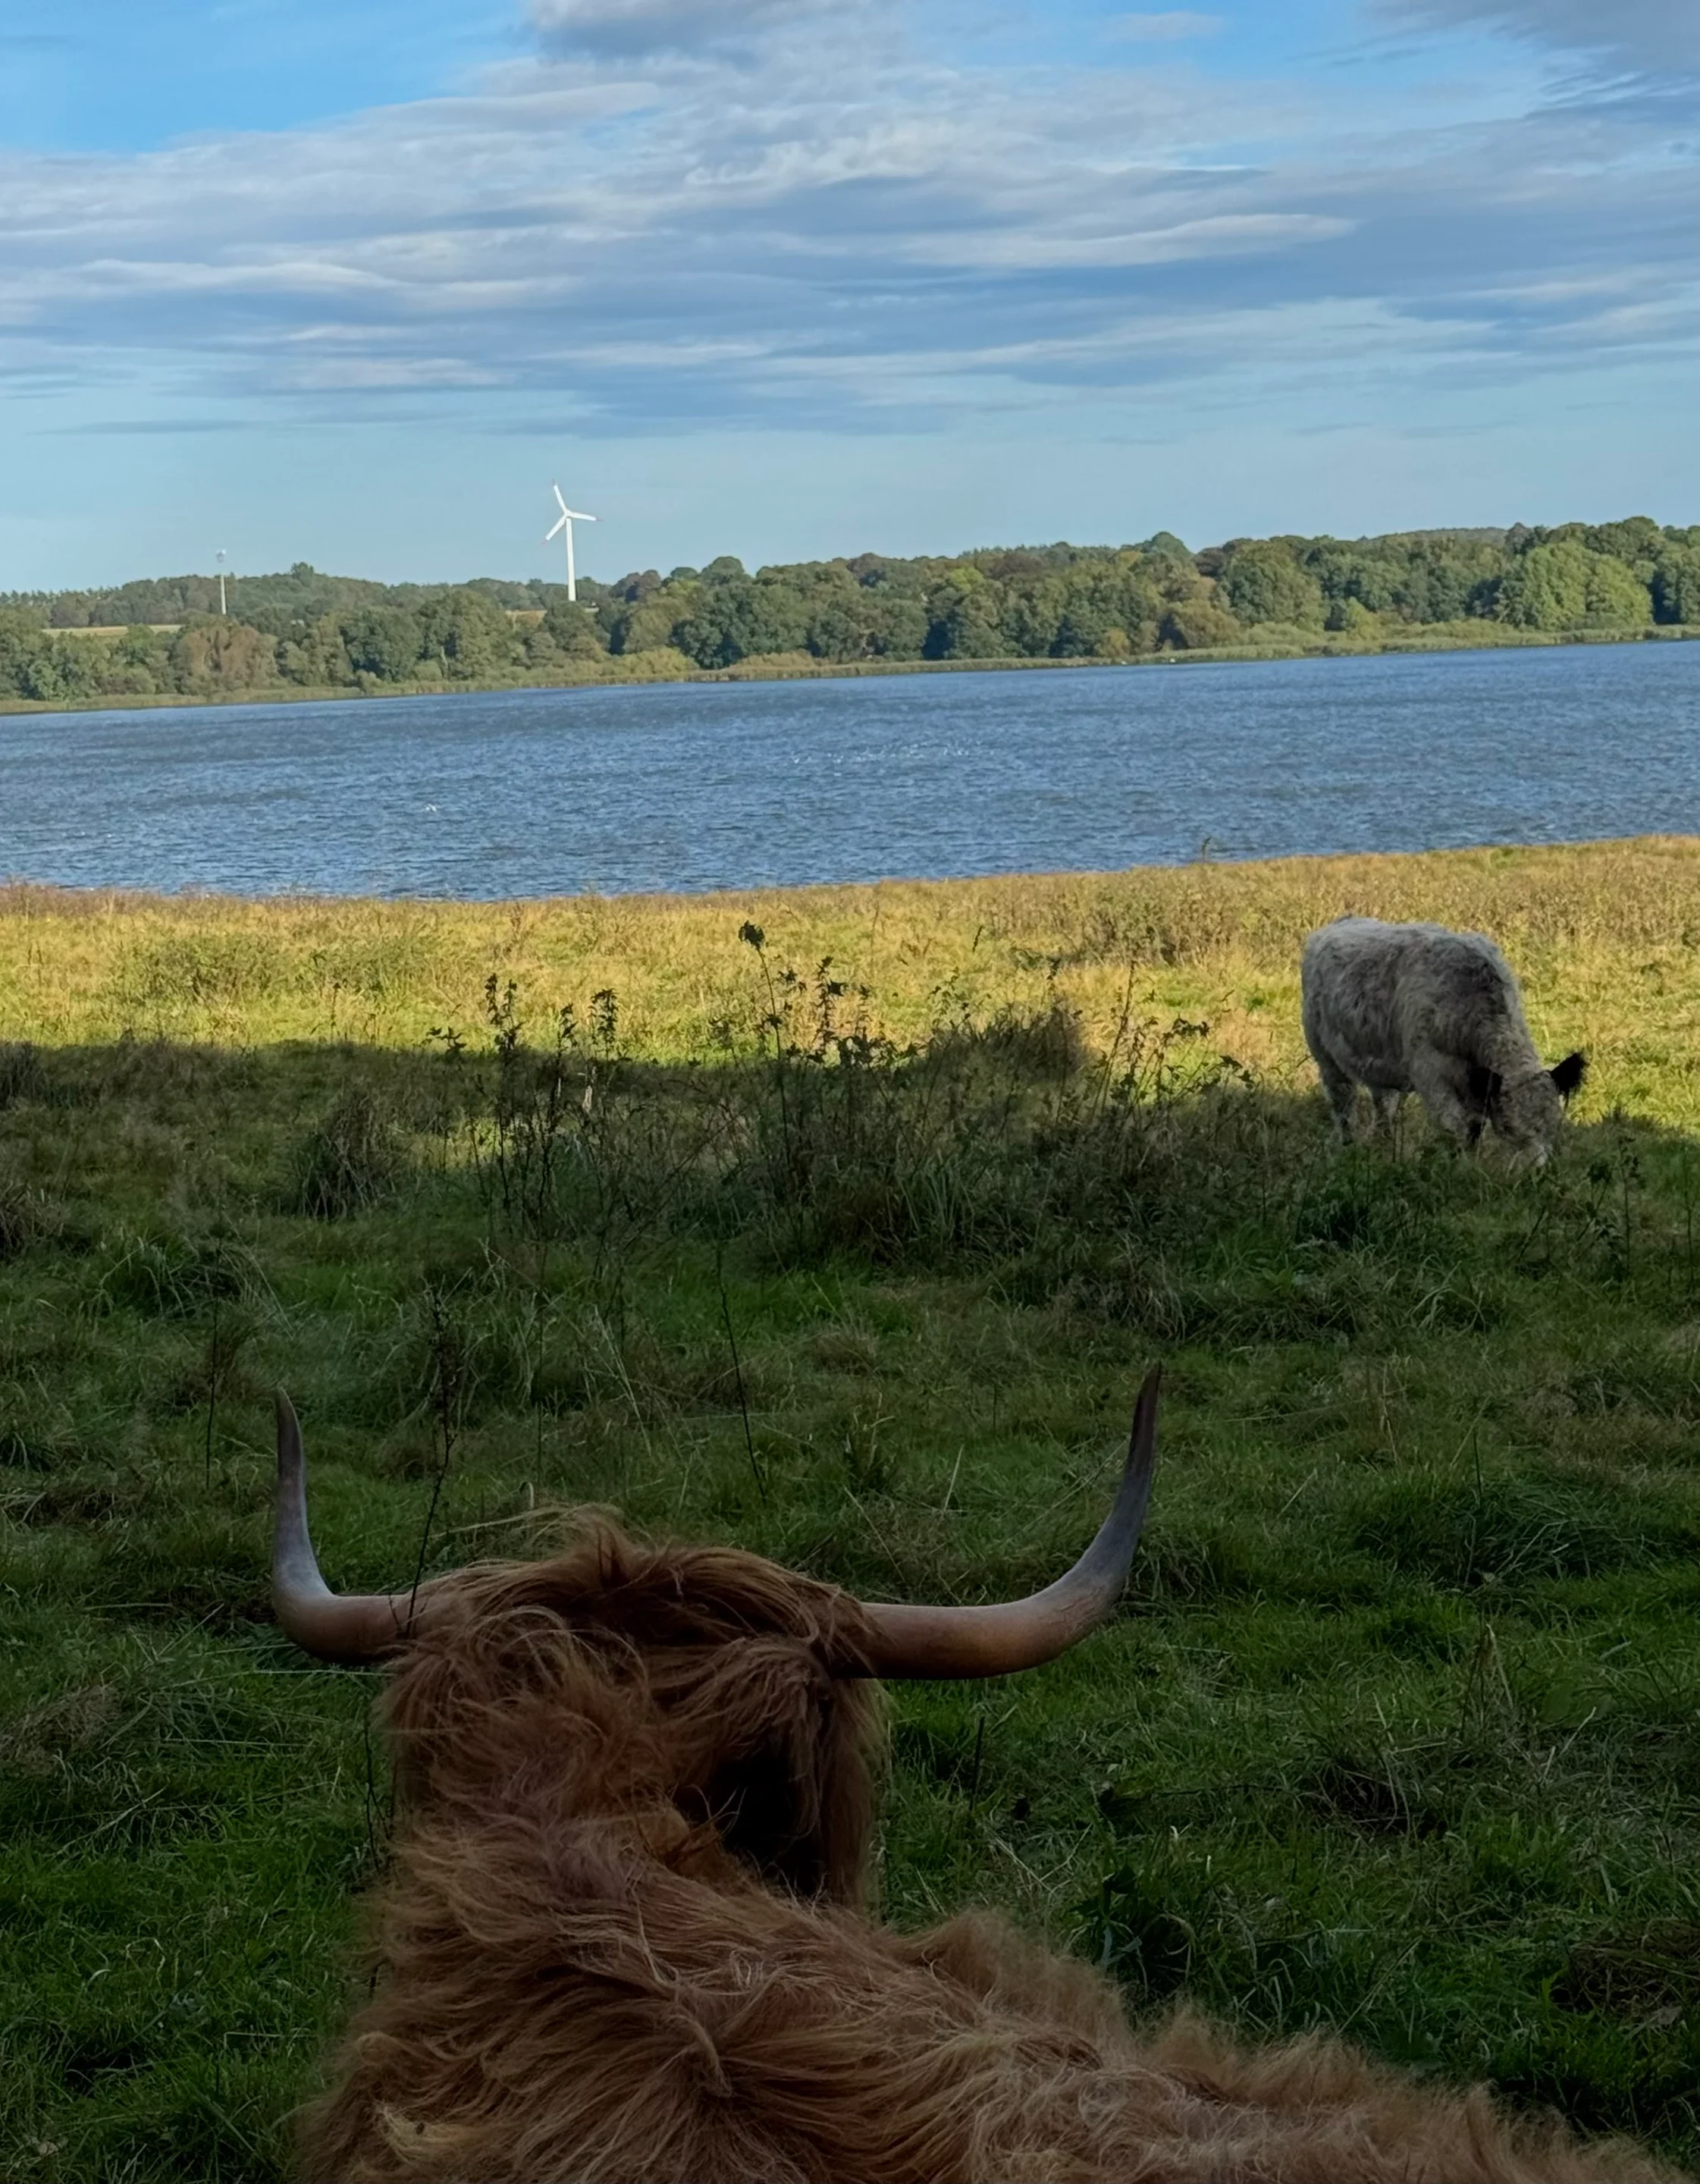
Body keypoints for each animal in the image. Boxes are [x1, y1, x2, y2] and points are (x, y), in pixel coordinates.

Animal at [1301, 917, 1586, 1162]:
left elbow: (1474, 1126)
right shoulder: (1431, 1075)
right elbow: (1455, 1126)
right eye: (1508, 1127)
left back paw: (1383, 1143)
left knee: (1382, 1103)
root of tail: (1339, 923)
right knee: (1342, 1103)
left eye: (1553, 1124)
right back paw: (1348, 1145)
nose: (1535, 1172)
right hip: (1326, 1058)